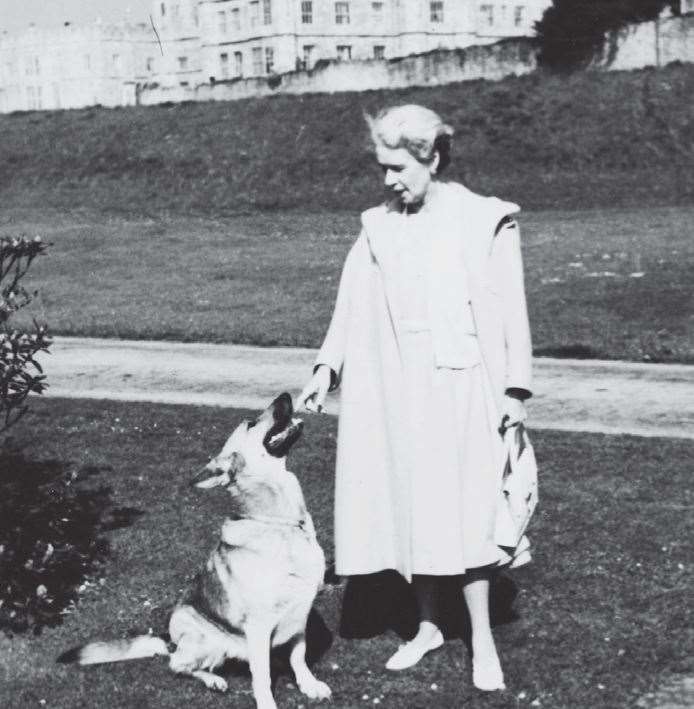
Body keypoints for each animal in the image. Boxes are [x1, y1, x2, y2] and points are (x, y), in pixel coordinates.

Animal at [59, 392, 332, 708]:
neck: (281, 523)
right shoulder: (259, 625)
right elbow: (261, 676)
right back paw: (213, 679)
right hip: (207, 641)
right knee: (178, 665)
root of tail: (169, 641)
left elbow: (298, 657)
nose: (286, 395)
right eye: (251, 423)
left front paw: (308, 684)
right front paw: (267, 702)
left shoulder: (298, 618)